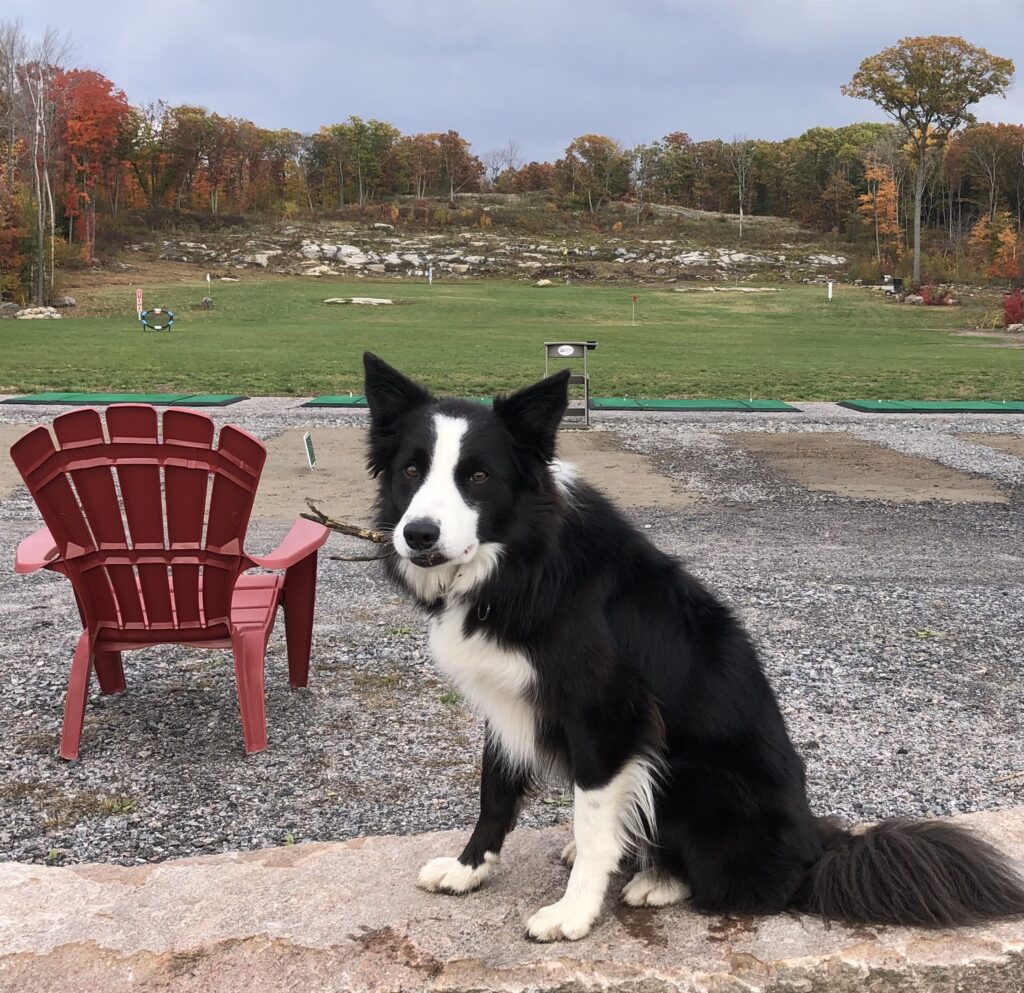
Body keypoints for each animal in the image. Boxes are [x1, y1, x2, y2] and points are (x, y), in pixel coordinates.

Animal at [362, 352, 1024, 941]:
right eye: (411, 470)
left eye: (477, 476)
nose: (418, 534)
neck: (519, 561)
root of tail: (815, 849)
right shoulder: (507, 698)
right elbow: (495, 793)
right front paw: (469, 869)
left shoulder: (608, 713)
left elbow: (595, 820)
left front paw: (573, 914)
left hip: (695, 775)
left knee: (744, 884)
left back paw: (657, 880)